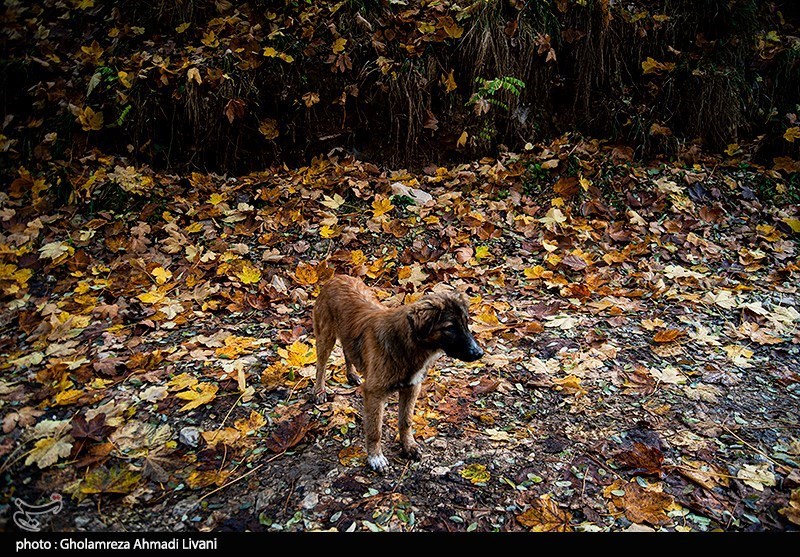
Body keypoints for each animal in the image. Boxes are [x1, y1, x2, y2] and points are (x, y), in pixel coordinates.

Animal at [312, 276, 482, 472]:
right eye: (450, 328)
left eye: (466, 323)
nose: (479, 353)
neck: (406, 344)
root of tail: (336, 277)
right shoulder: (374, 394)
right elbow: (375, 430)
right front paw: (375, 457)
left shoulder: (412, 388)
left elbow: (405, 421)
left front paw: (408, 446)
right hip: (325, 338)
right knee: (321, 366)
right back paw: (319, 391)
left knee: (348, 351)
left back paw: (352, 374)